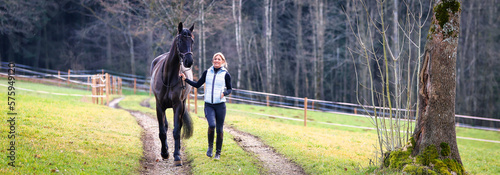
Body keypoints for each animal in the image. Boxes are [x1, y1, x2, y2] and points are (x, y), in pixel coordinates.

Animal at [149, 22, 194, 167]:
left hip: (183, 105)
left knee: (178, 126)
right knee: (166, 126)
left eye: (192, 41)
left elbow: (176, 131)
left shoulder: (178, 105)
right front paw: (164, 153)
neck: (168, 77)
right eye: (180, 40)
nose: (189, 61)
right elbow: (163, 131)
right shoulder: (159, 106)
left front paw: (177, 156)